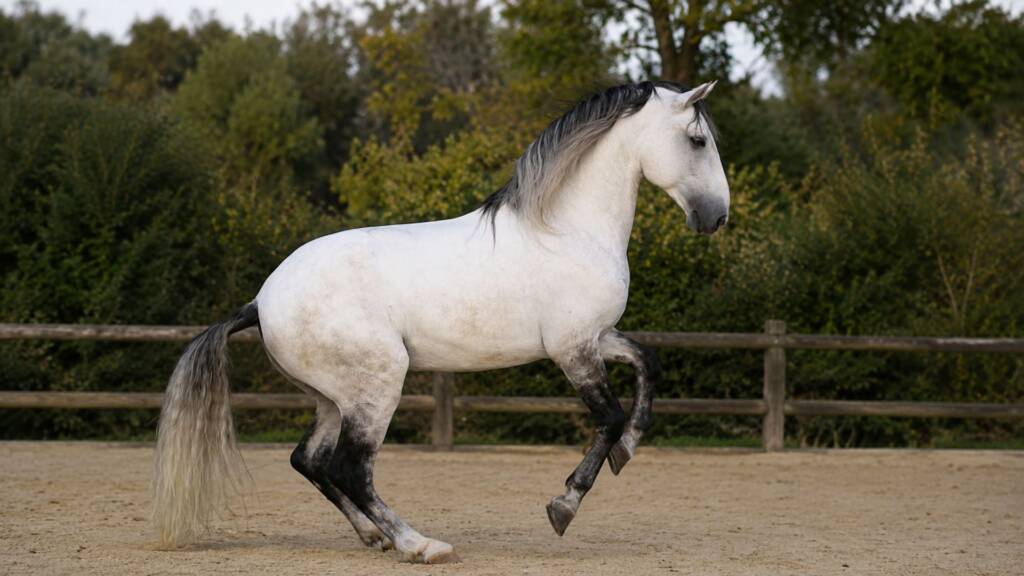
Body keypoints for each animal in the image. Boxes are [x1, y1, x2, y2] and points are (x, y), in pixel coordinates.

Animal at [153, 79, 729, 563]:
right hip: (378, 385)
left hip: (332, 398)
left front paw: (628, 450)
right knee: (348, 467)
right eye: (698, 140)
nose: (716, 217)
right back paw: (419, 544)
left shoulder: (596, 337)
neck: (566, 230)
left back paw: (375, 537)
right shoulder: (572, 349)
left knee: (309, 461)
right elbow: (608, 418)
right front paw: (564, 505)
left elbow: (648, 364)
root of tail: (262, 300)